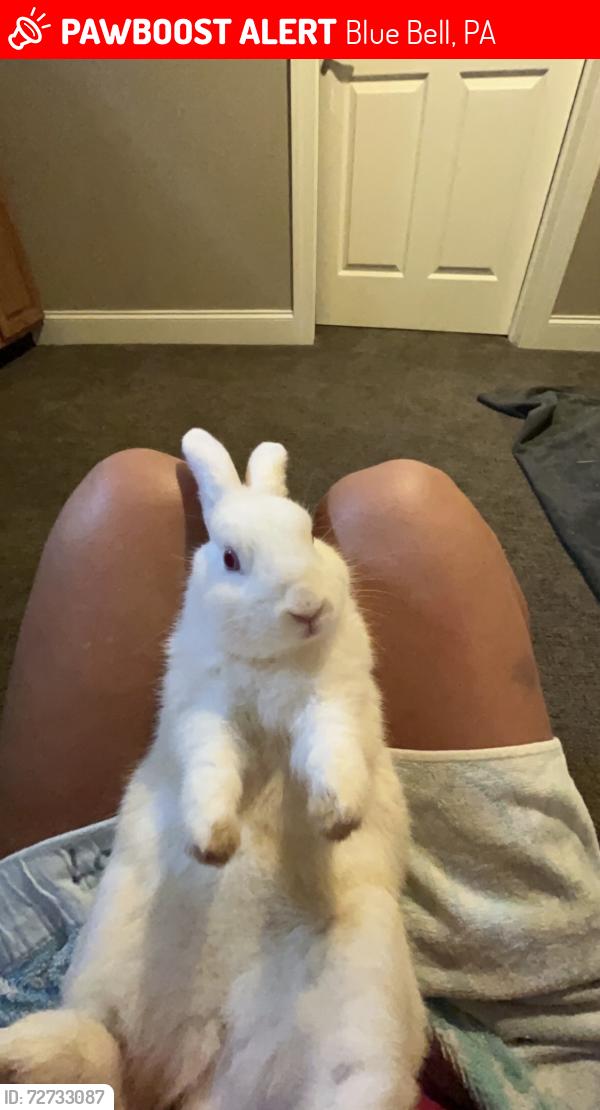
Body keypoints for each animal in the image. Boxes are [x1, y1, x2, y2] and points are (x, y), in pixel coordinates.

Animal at [0, 431, 427, 1110]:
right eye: (230, 558)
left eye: (309, 535)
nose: (308, 608)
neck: (272, 663)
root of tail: (197, 1081)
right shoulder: (208, 717)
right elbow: (213, 773)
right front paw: (214, 845)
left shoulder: (332, 703)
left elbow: (331, 753)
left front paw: (336, 817)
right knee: (88, 1046)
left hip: (362, 1044)